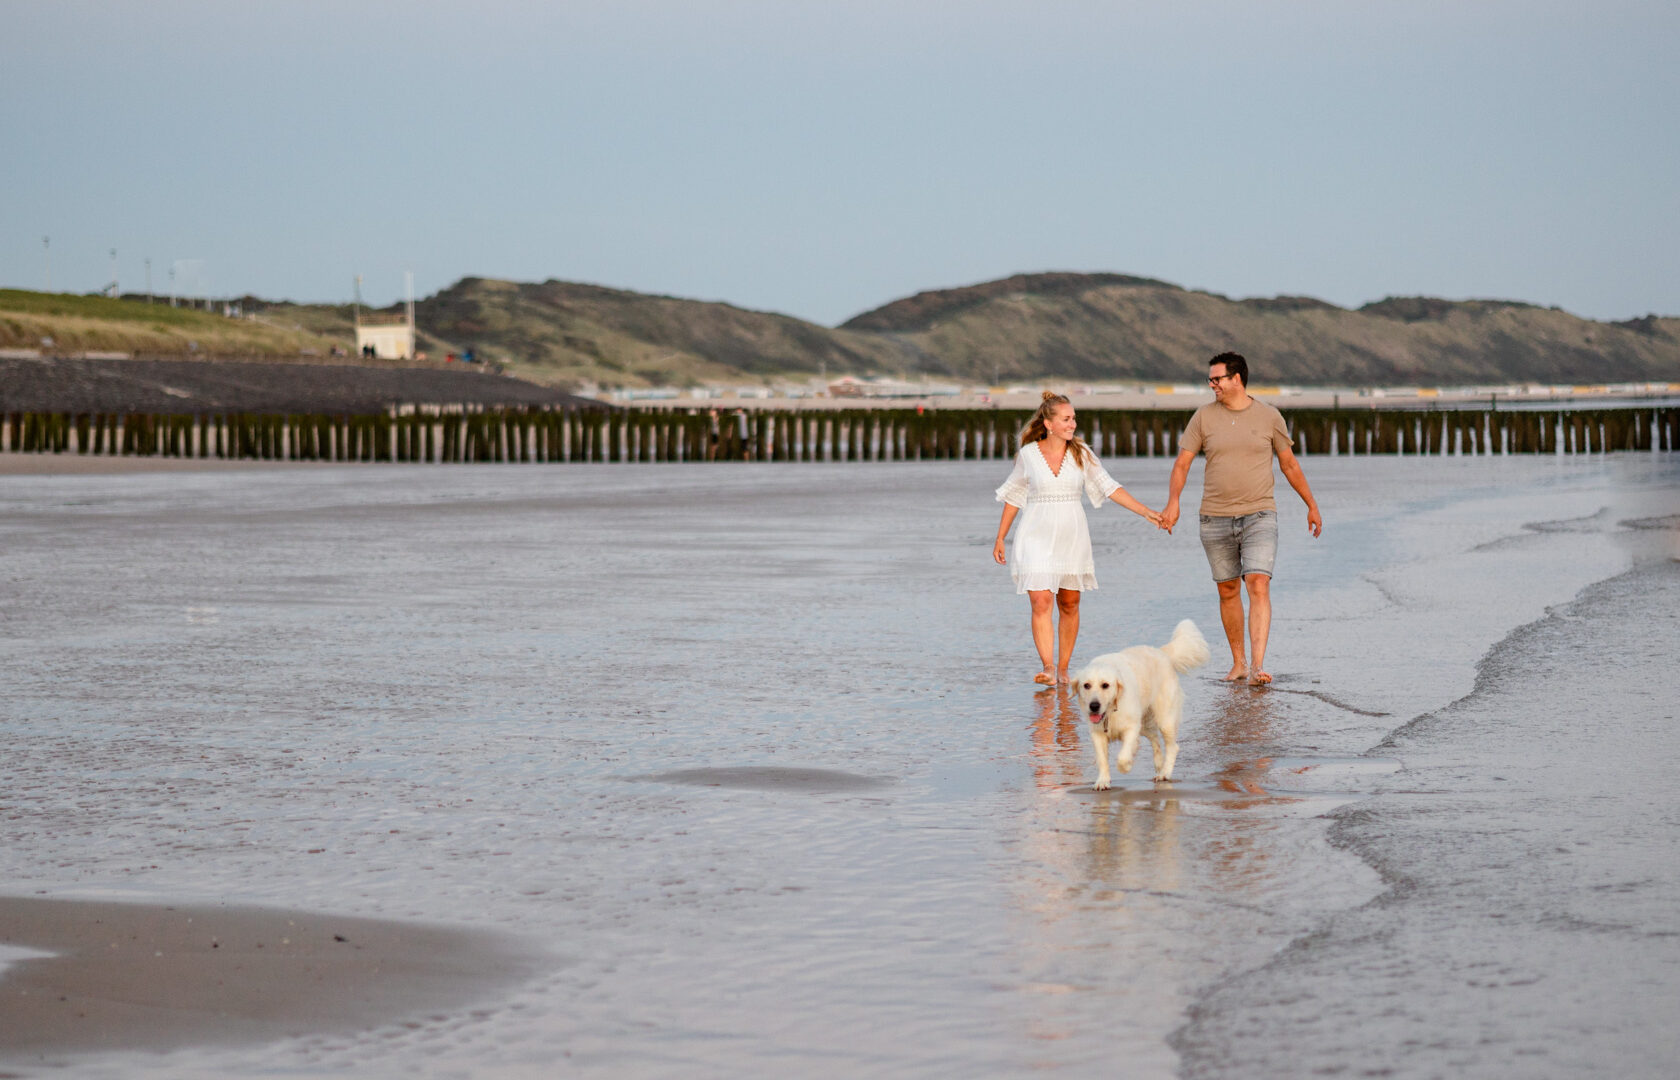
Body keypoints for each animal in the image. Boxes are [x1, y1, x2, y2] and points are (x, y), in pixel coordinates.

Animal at [1075, 621, 1209, 789]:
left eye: (1105, 685)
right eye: (1086, 685)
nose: (1094, 706)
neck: (1111, 711)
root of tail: (1161, 652)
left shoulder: (1132, 727)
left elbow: (1123, 756)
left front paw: (1126, 766)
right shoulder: (1097, 733)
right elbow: (1102, 759)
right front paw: (1102, 781)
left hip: (1165, 719)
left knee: (1172, 746)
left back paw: (1165, 773)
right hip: (1145, 723)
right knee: (1156, 740)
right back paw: (1159, 765)